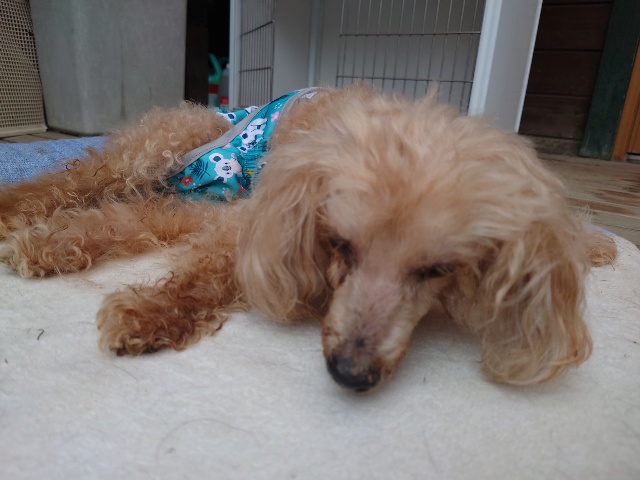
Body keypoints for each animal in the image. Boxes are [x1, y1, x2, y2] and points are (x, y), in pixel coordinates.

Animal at [0, 84, 617, 392]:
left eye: (438, 271)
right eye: (342, 244)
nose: (352, 373)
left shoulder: (219, 215)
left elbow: (155, 241)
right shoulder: (252, 216)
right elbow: (191, 258)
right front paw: (145, 310)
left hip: (185, 189)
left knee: (127, 206)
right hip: (159, 146)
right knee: (76, 179)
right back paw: (16, 215)